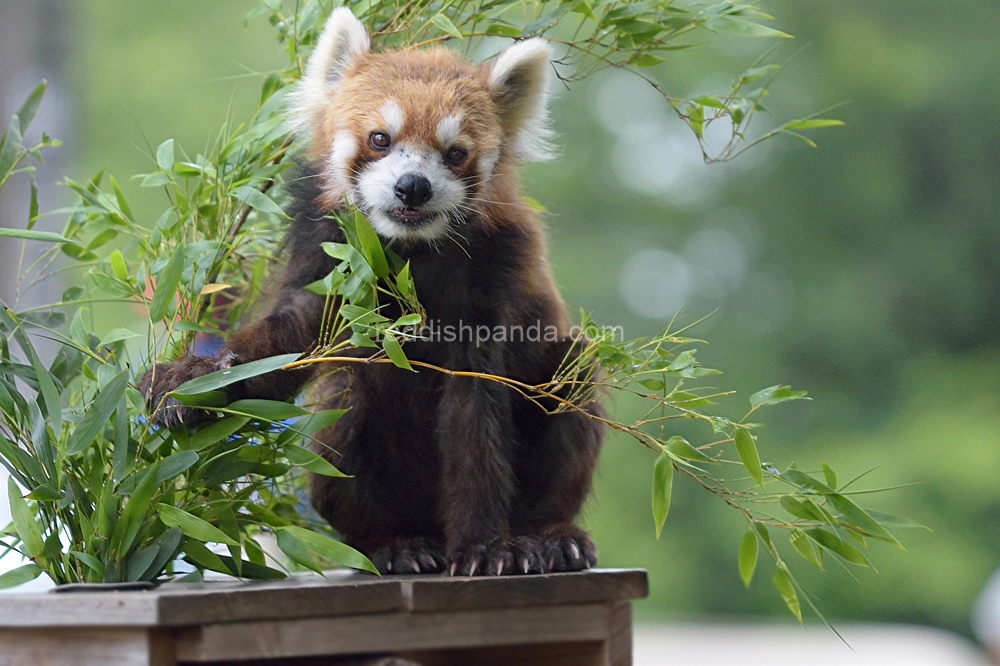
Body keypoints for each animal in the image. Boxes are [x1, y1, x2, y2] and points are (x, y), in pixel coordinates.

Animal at [142, 7, 604, 572]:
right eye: (381, 139)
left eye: (455, 153)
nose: (413, 186)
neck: (407, 251)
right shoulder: (330, 249)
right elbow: (293, 330)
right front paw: (196, 379)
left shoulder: (494, 277)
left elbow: (477, 415)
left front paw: (484, 546)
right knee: (348, 410)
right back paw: (393, 543)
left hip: (562, 385)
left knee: (573, 374)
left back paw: (549, 536)